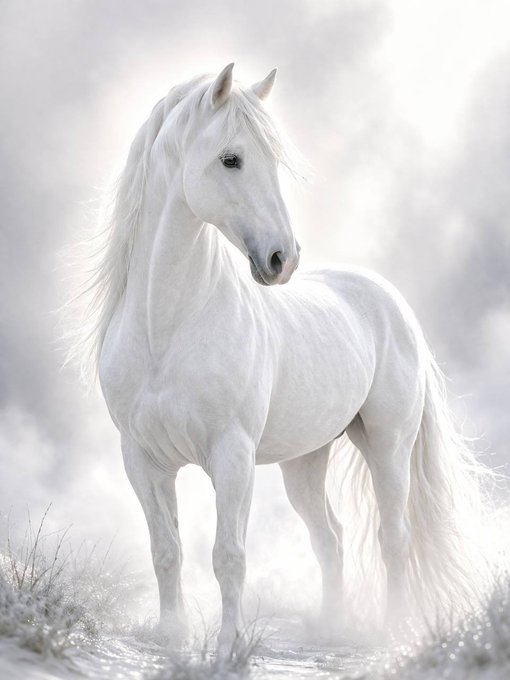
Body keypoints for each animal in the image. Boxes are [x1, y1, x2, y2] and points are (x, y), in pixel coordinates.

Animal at [81, 63, 490, 654]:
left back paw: (389, 633)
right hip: (305, 463)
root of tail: (392, 302)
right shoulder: (142, 460)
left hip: (388, 445)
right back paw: (332, 628)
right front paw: (173, 637)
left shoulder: (231, 456)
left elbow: (228, 556)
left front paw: (228, 646)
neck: (167, 329)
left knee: (394, 537)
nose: (283, 259)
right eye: (231, 158)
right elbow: (166, 551)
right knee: (331, 539)